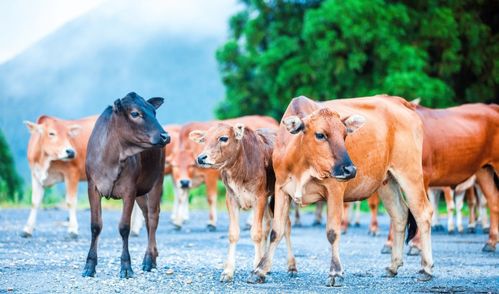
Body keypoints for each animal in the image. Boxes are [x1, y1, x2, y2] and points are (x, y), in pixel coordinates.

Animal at [189, 122, 294, 282]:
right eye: (203, 139)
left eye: (223, 138)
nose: (201, 158)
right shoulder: (231, 198)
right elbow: (234, 233)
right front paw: (228, 271)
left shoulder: (260, 198)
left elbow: (256, 233)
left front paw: (256, 269)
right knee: (268, 224)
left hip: (280, 196)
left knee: (285, 225)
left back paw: (291, 267)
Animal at [250, 95, 434, 286]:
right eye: (320, 135)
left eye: (345, 135)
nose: (350, 170)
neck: (302, 164)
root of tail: (401, 102)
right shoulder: (281, 189)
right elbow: (276, 231)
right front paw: (260, 270)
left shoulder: (334, 189)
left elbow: (332, 232)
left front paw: (335, 272)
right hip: (387, 181)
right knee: (400, 215)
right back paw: (393, 266)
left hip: (410, 172)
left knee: (423, 213)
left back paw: (426, 268)